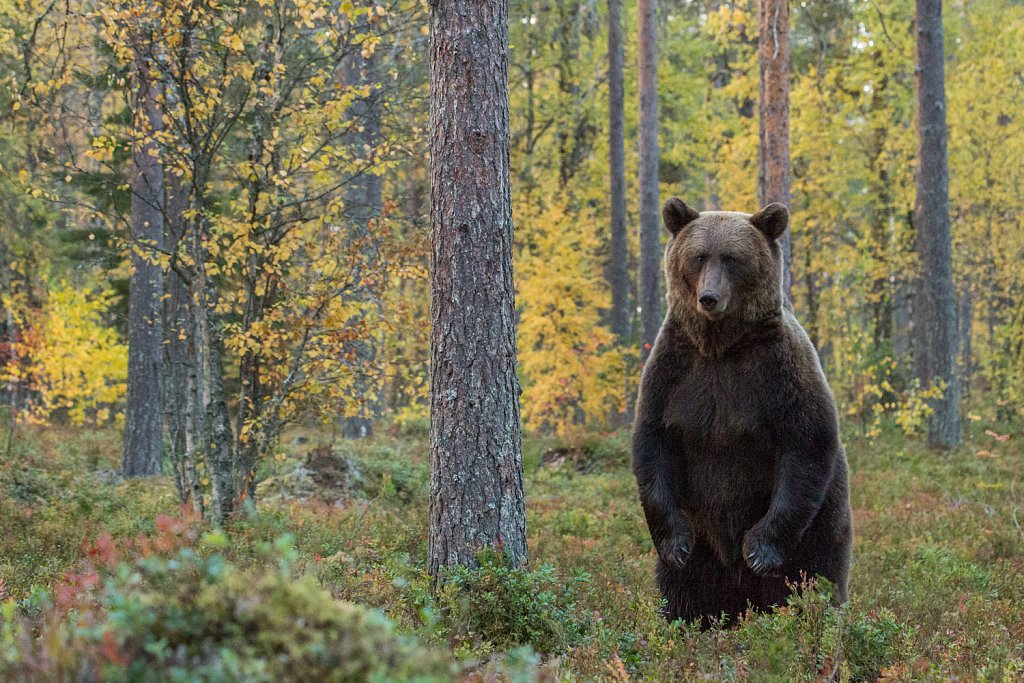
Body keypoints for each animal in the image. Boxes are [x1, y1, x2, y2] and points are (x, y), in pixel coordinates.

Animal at [630, 198, 856, 630]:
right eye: (699, 256)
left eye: (732, 258)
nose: (709, 298)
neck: (720, 346)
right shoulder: (674, 374)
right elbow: (653, 443)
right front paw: (675, 544)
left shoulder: (778, 371)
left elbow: (807, 441)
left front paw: (758, 548)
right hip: (705, 547)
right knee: (683, 588)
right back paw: (686, 621)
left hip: (823, 523)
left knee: (814, 575)